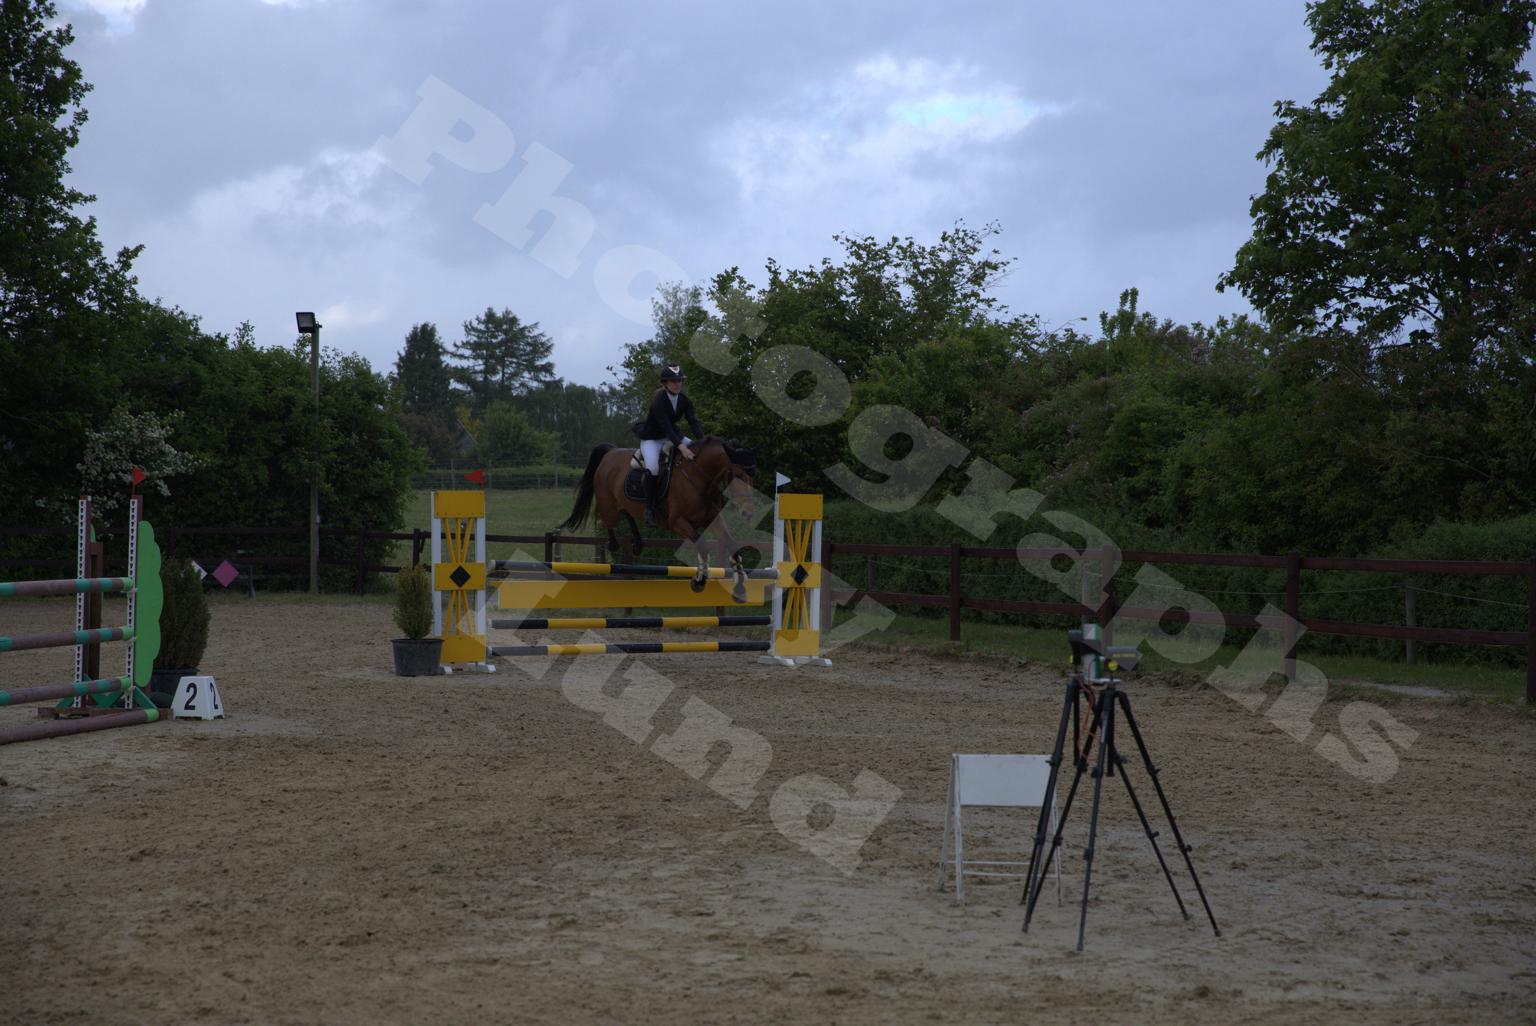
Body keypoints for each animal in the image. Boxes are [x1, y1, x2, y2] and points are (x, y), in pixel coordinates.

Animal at [557, 437, 760, 594]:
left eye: (753, 475)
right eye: (738, 475)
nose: (748, 512)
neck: (698, 477)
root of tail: (611, 452)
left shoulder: (713, 518)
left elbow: (731, 542)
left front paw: (740, 582)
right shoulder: (678, 522)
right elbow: (702, 546)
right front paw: (698, 581)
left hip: (623, 500)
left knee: (626, 512)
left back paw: (638, 543)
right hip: (607, 499)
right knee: (609, 517)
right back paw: (615, 543)